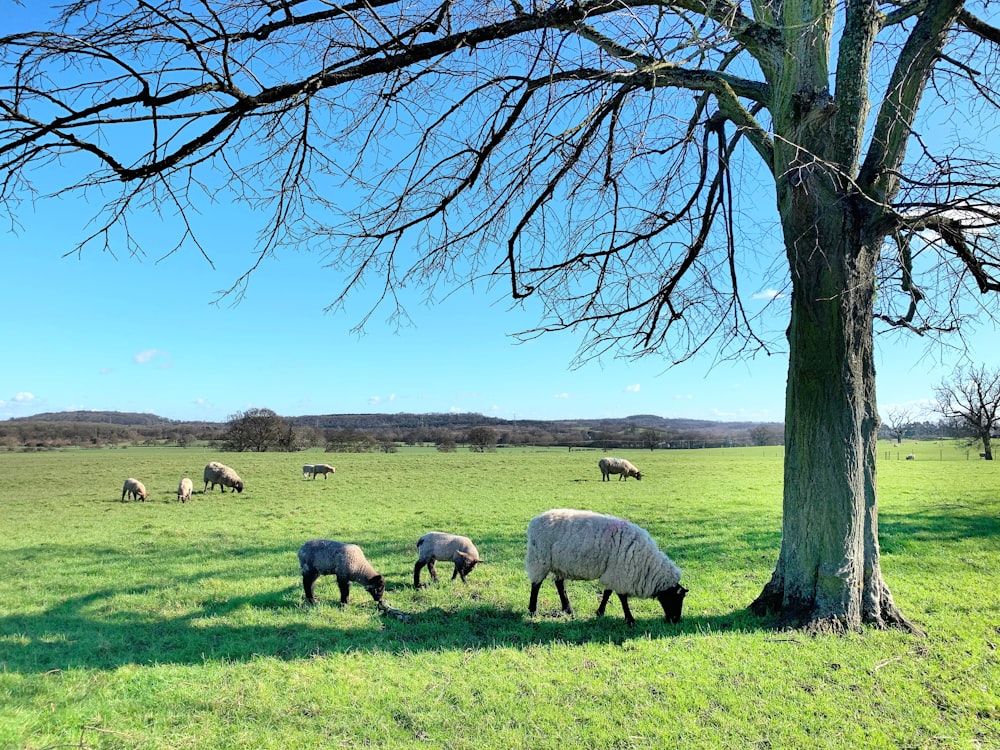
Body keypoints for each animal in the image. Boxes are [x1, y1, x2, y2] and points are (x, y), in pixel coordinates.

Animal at [524, 512, 688, 628]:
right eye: (676, 598)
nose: (675, 620)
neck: (646, 564)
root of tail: (534, 521)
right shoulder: (620, 572)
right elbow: (622, 597)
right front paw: (630, 619)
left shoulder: (613, 571)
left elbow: (608, 593)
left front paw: (600, 612)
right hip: (539, 559)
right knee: (536, 585)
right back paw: (533, 610)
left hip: (558, 564)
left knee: (559, 584)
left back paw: (568, 609)